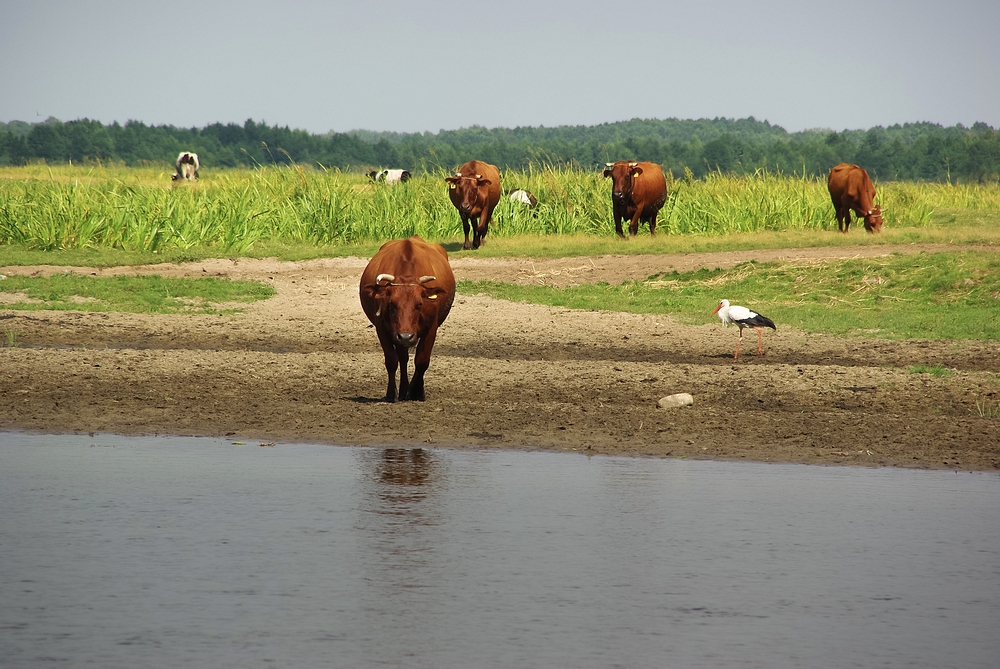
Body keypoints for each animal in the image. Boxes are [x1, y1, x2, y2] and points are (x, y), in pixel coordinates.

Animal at [360, 236, 458, 402]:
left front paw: (417, 392)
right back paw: (403, 389)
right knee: (402, 358)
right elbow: (392, 360)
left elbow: (422, 360)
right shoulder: (382, 328)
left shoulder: (431, 327)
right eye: (392, 304)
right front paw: (391, 393)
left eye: (419, 304)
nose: (406, 336)